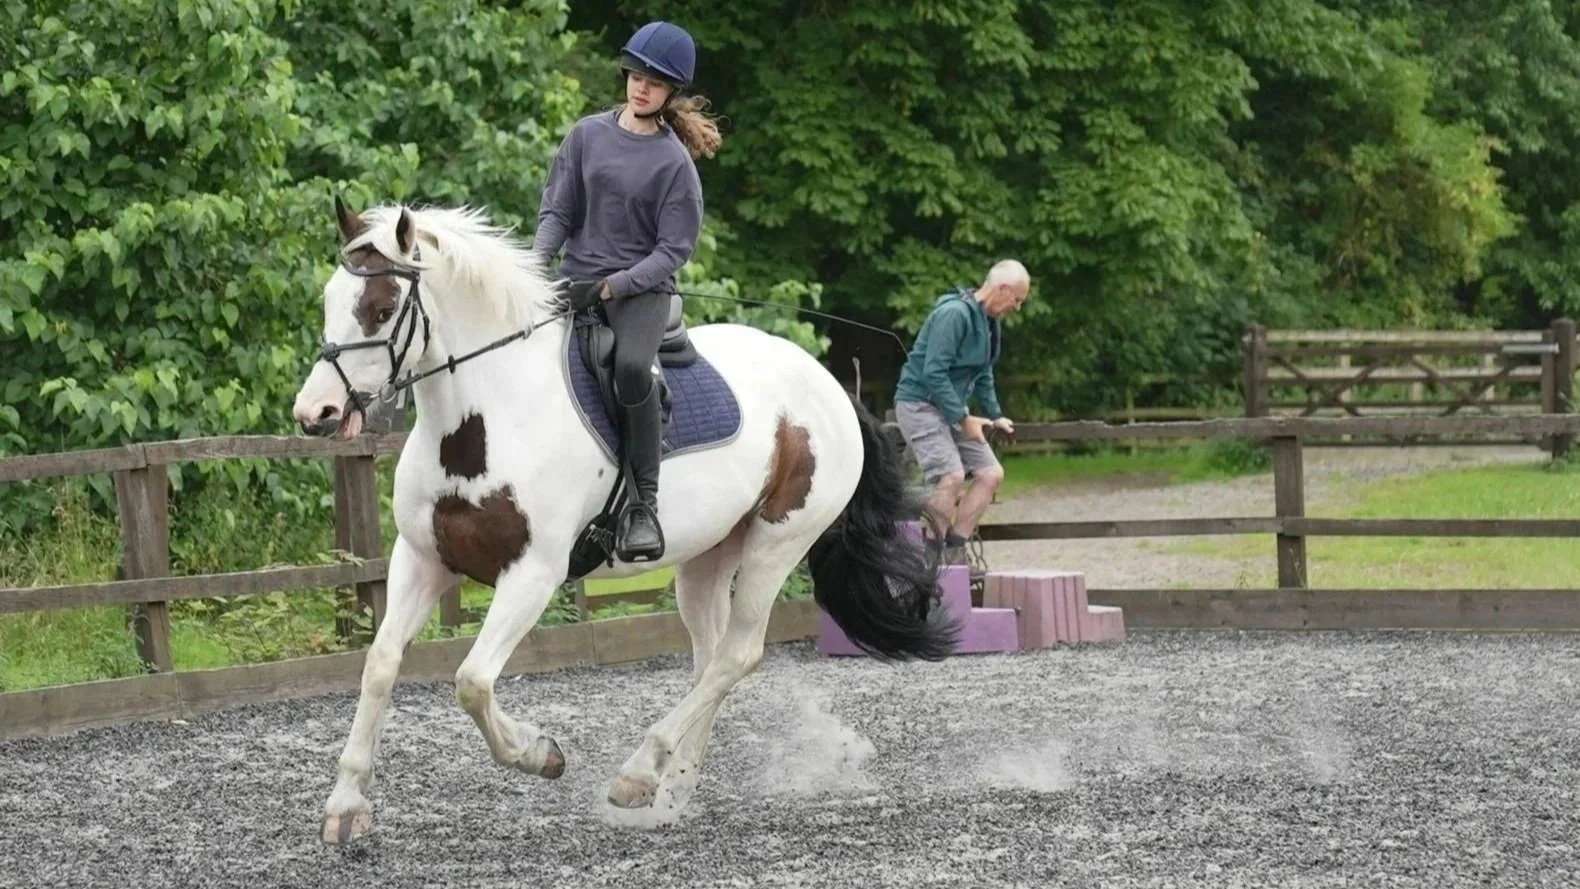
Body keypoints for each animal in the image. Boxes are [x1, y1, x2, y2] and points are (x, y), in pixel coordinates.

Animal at [290, 198, 960, 842]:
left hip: (778, 544)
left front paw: (541, 753)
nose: (315, 413)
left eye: (381, 308)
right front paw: (346, 806)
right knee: (710, 659)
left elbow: (473, 680)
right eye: (330, 300)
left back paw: (639, 773)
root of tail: (829, 386)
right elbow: (380, 665)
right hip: (708, 557)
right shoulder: (423, 558)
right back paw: (672, 786)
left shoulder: (532, 573)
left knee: (739, 654)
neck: (487, 418)